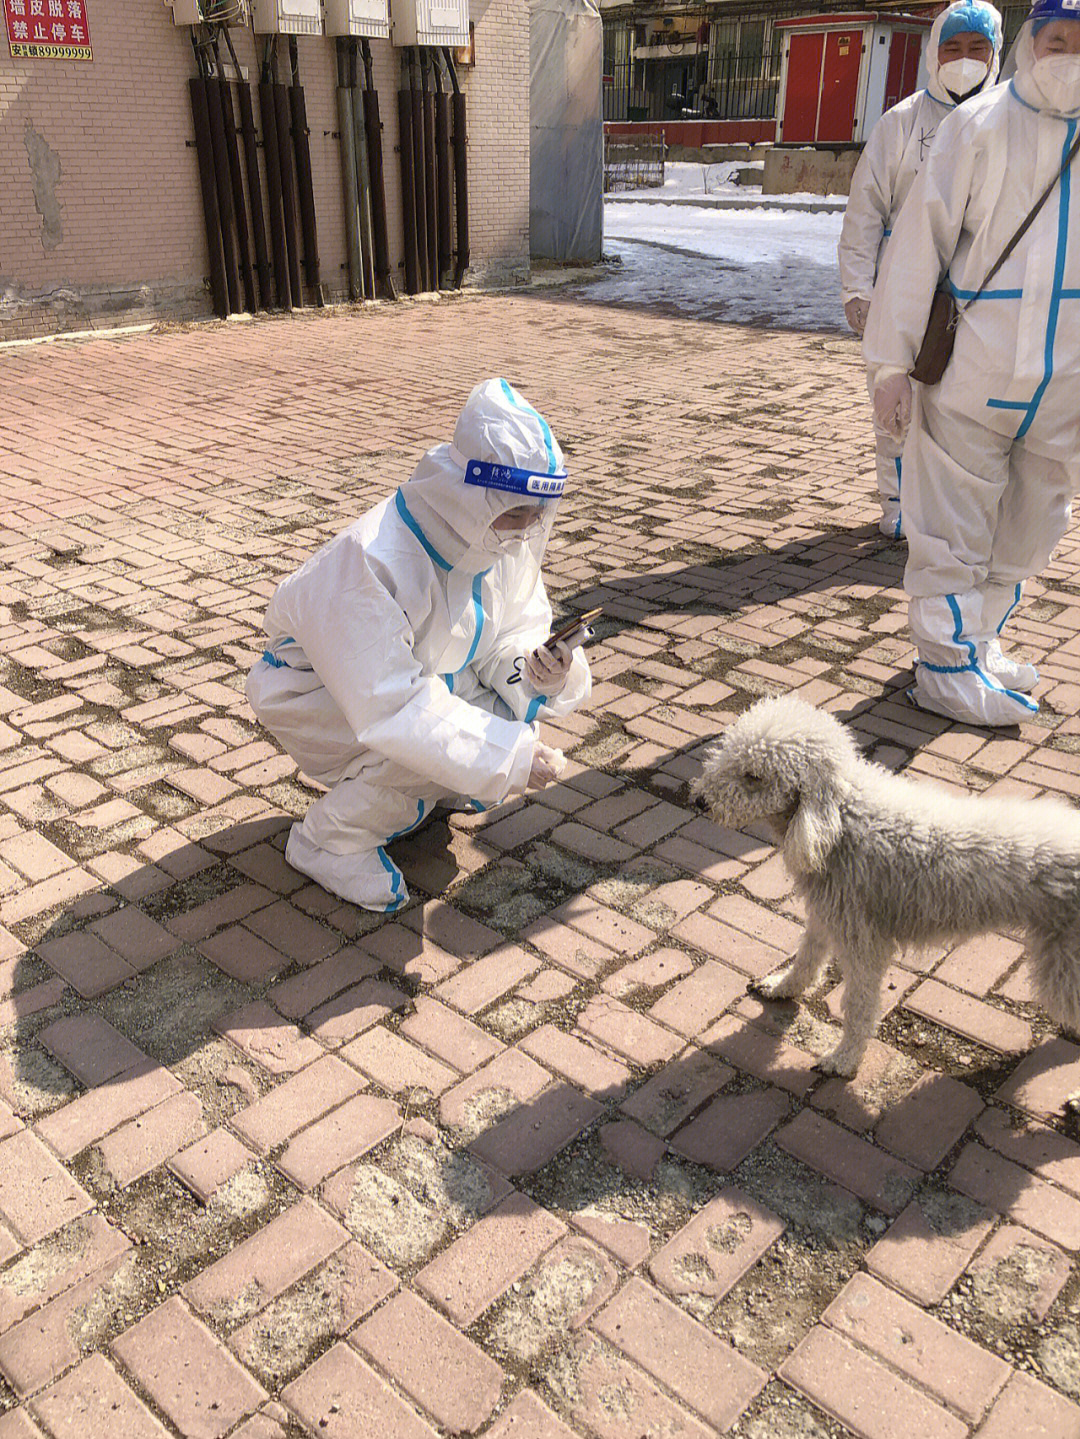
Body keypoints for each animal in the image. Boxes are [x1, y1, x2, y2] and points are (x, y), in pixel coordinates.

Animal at [693, 690, 1080, 1076]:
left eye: (753, 776)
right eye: (726, 752)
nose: (698, 801)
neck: (842, 821)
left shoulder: (862, 940)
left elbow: (859, 1004)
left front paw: (844, 1059)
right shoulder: (827, 913)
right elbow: (807, 957)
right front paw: (781, 987)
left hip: (1064, 959)